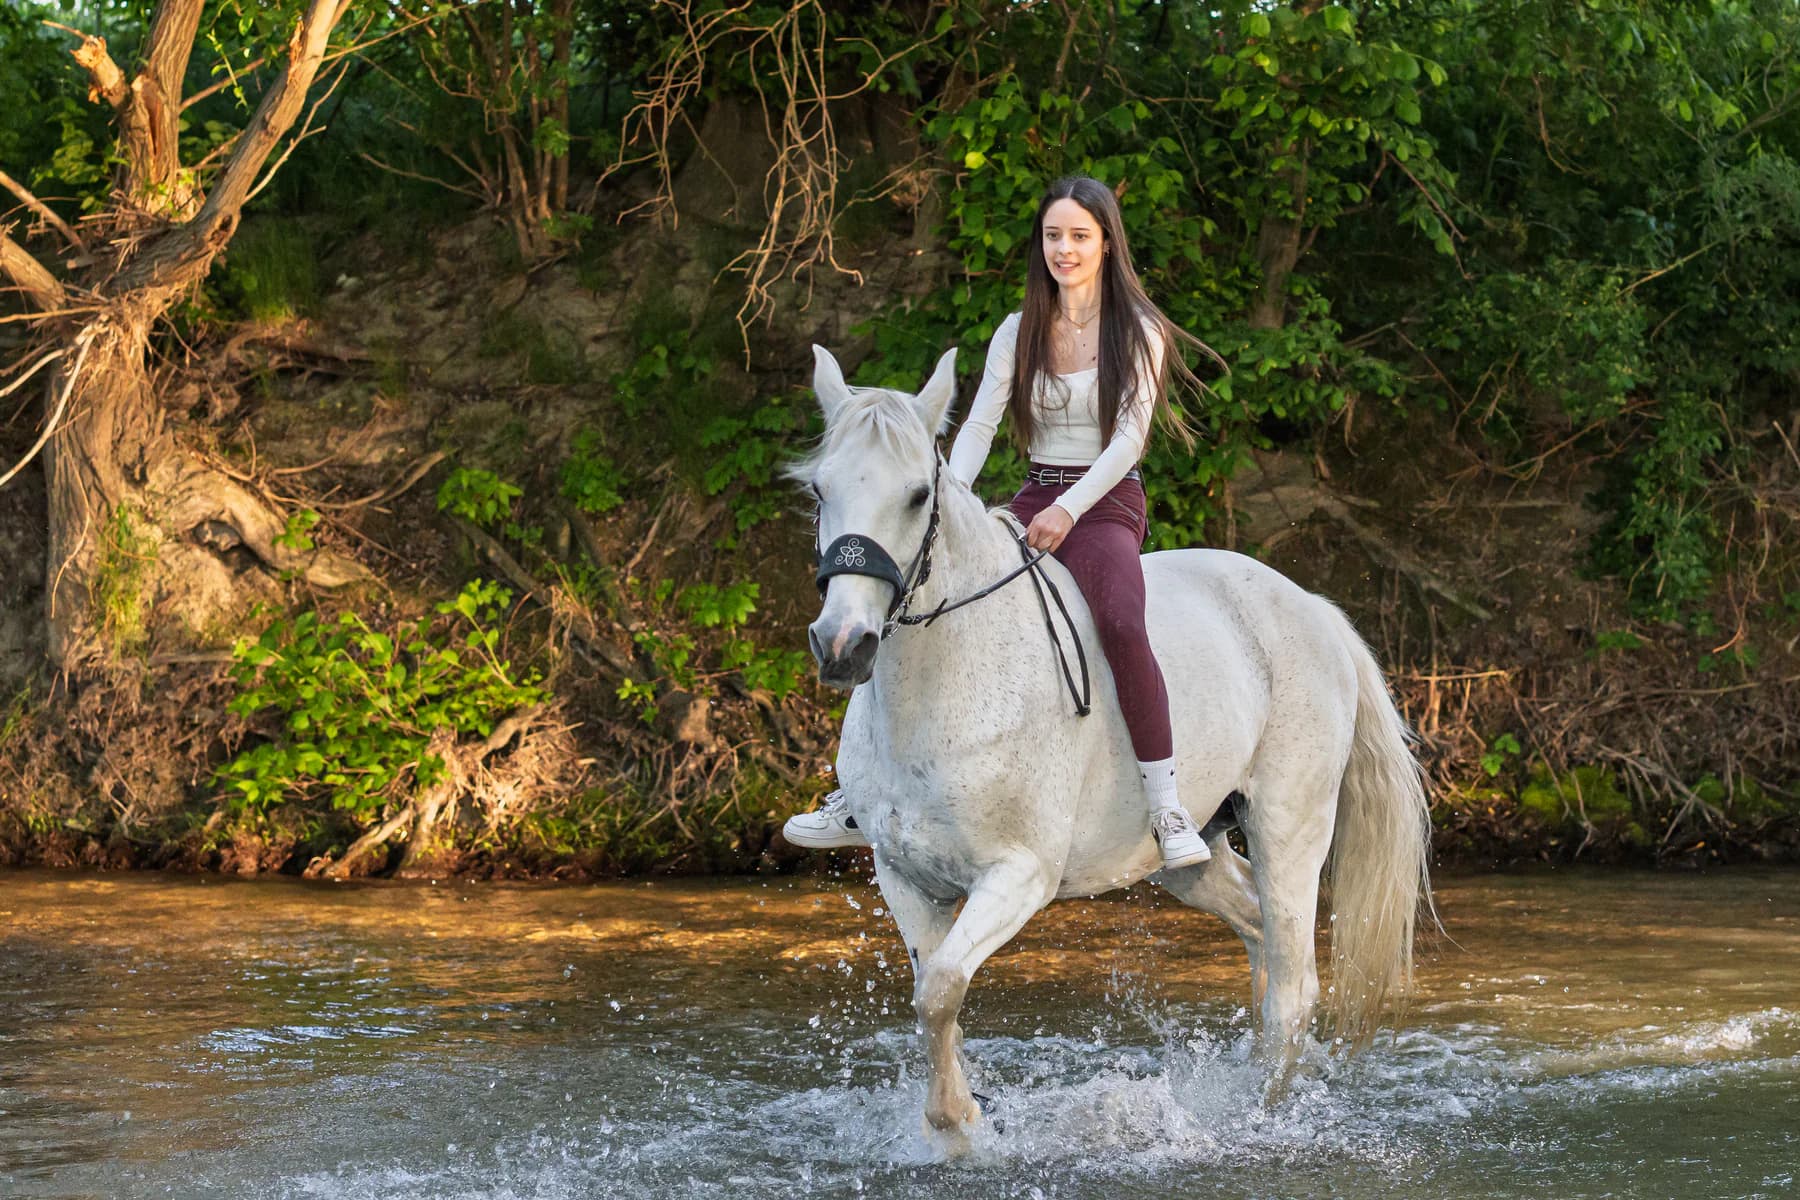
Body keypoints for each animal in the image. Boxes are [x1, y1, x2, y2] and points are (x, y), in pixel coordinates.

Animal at [793, 344, 1434, 1147]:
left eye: (916, 496)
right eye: (820, 490)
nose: (842, 646)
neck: (945, 682)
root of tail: (1313, 607)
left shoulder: (1018, 876)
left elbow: (939, 990)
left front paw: (960, 1126)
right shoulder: (905, 875)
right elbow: (934, 994)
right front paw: (959, 1117)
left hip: (1291, 827)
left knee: (1295, 985)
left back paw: (1255, 1119)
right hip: (1195, 854)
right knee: (1258, 932)